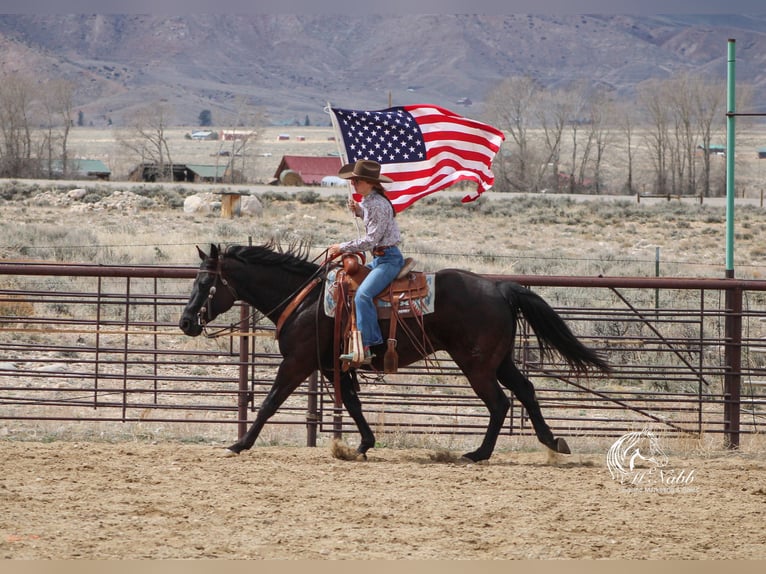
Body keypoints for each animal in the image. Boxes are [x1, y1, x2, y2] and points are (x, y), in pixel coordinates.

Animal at [180, 243, 612, 464]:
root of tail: (500, 288)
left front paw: (239, 444)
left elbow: (270, 402)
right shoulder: (329, 365)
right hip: (498, 360)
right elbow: (353, 404)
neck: (306, 300)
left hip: (476, 364)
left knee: (500, 402)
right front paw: (362, 445)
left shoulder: (298, 362)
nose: (185, 322)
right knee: (525, 392)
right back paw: (553, 442)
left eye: (203, 283)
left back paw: (478, 453)